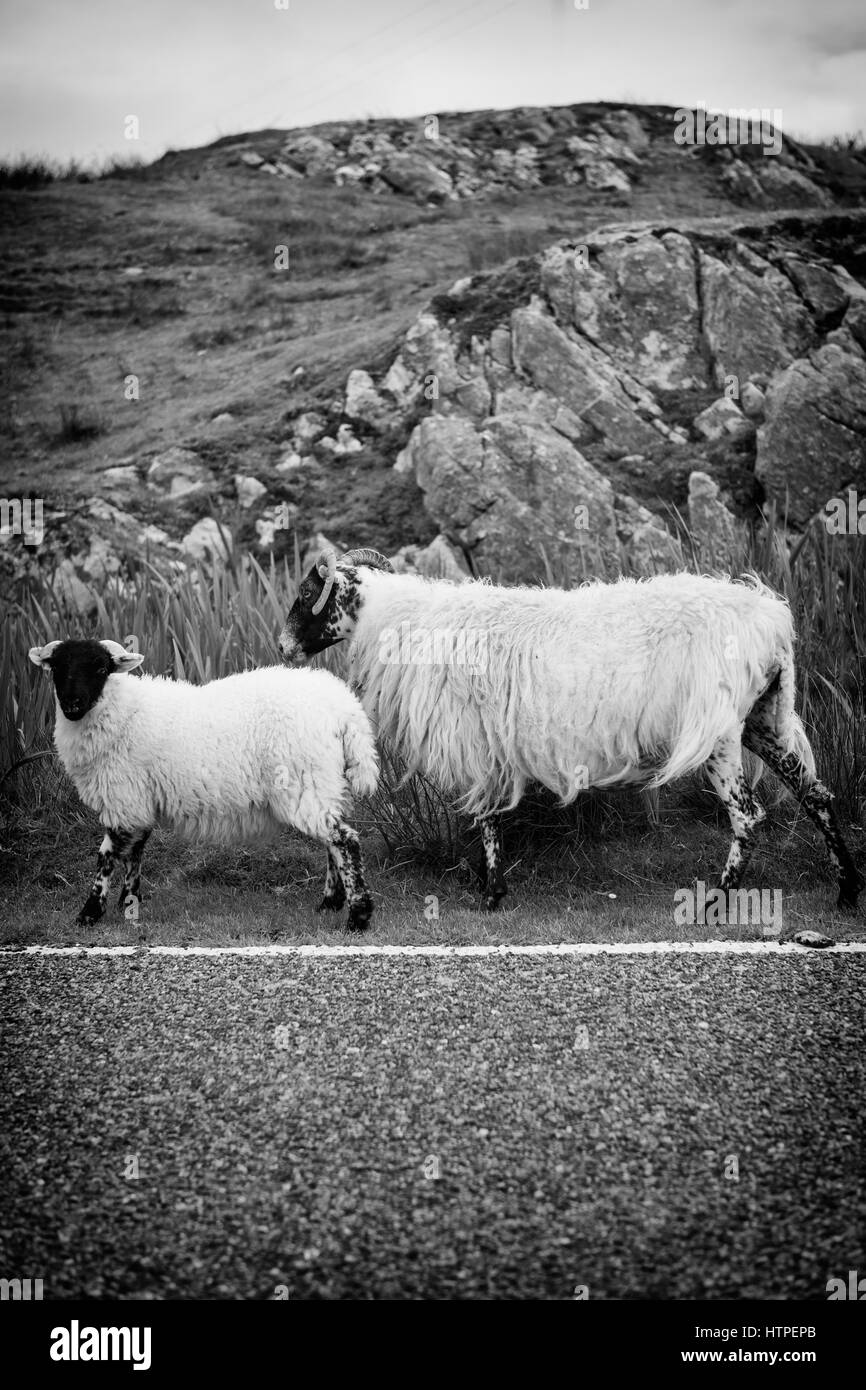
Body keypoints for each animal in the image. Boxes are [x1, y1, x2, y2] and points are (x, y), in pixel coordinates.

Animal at [28, 638, 379, 931]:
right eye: (57, 668)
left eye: (101, 668)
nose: (72, 704)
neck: (119, 709)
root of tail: (346, 710)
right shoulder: (138, 801)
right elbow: (134, 852)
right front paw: (128, 903)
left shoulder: (124, 797)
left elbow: (106, 856)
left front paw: (89, 912)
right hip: (325, 783)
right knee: (333, 841)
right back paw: (330, 903)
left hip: (305, 781)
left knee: (345, 841)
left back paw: (358, 915)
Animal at [278, 548, 862, 917]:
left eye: (308, 592)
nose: (282, 648)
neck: (400, 622)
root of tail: (770, 621)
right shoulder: (491, 745)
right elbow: (492, 817)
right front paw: (494, 889)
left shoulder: (477, 743)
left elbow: (486, 819)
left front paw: (492, 895)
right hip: (763, 718)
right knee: (817, 795)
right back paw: (847, 890)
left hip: (717, 731)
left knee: (748, 815)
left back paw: (719, 899)